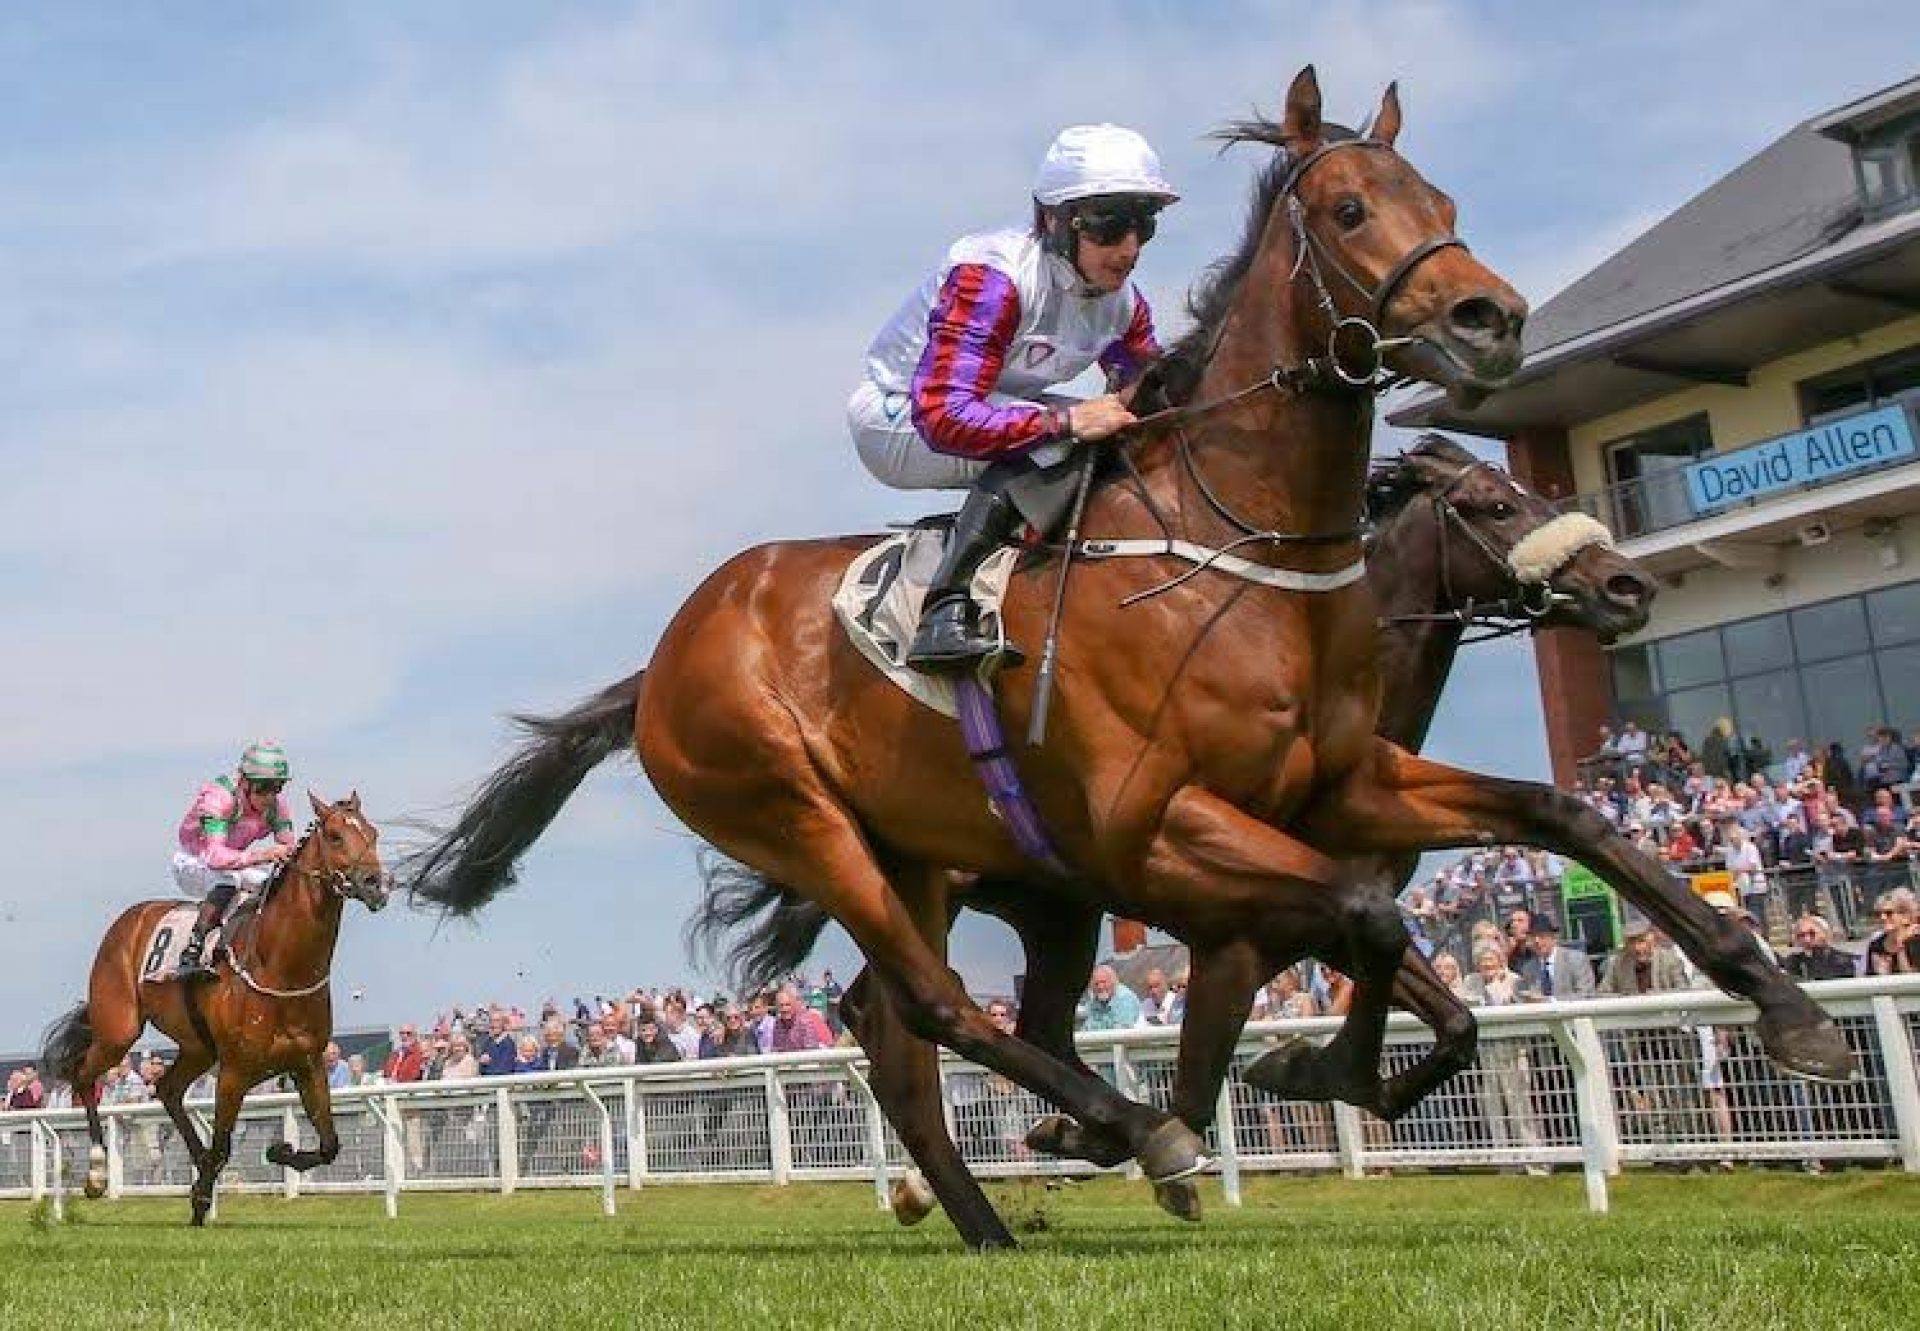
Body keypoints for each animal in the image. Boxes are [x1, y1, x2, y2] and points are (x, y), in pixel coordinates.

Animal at [45, 787, 387, 1221]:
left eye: (373, 834)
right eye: (335, 836)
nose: (377, 883)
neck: (281, 966)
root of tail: (129, 920)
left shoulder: (308, 1062)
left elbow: (329, 1145)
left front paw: (277, 1151)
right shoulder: (235, 1071)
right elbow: (223, 1143)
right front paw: (202, 1201)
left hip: (198, 1047)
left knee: (168, 1089)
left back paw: (195, 1163)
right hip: (118, 1031)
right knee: (82, 1074)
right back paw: (96, 1172)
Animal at [412, 67, 1850, 1252]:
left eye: (1441, 198)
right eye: (1346, 208)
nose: (1491, 316)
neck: (1237, 554)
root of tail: (663, 658)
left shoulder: (1337, 791)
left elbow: (1554, 825)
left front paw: (1789, 1010)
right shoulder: (1162, 832)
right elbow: (1364, 918)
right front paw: (1285, 1080)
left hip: (936, 863)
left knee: (907, 1028)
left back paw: (1001, 1210)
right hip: (797, 814)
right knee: (941, 1007)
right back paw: (1113, 1129)